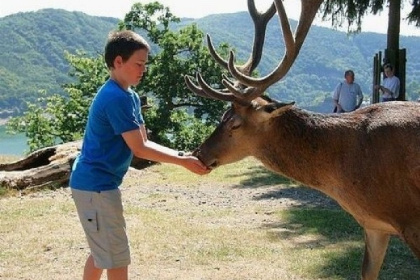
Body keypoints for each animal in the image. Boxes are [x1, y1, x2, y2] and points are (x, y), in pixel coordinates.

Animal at [185, 0, 420, 280]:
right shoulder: (374, 224)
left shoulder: (412, 221)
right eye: (223, 115)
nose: (199, 153)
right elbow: (367, 272)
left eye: (235, 123)